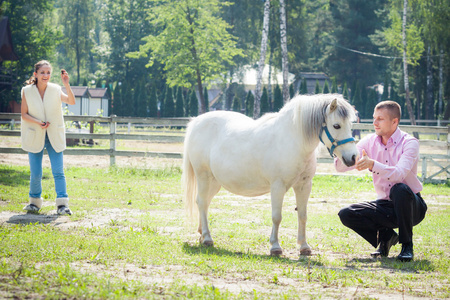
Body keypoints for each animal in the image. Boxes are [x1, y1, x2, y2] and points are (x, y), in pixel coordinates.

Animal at [181, 94, 356, 255]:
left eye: (350, 124)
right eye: (336, 125)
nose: (353, 157)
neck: (293, 141)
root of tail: (196, 122)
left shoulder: (304, 185)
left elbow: (303, 215)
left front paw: (304, 246)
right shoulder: (278, 186)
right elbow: (277, 216)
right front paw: (275, 247)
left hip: (215, 182)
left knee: (204, 203)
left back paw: (201, 234)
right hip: (204, 176)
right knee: (202, 202)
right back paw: (207, 238)